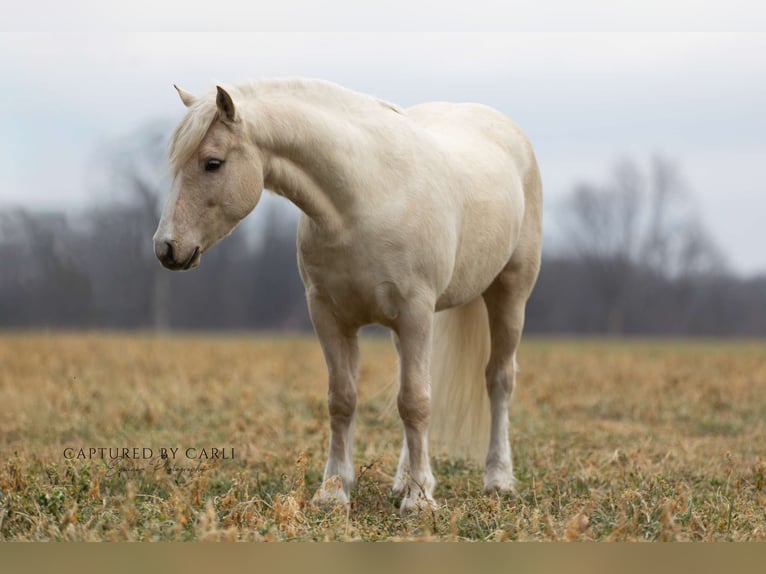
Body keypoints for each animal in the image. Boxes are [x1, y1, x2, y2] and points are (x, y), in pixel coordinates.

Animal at [153, 79, 544, 516]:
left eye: (213, 163)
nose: (167, 248)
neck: (364, 198)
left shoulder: (415, 314)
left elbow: (415, 402)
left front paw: (419, 502)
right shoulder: (330, 317)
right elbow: (344, 400)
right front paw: (334, 491)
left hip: (509, 294)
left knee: (498, 380)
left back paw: (497, 479)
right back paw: (404, 480)